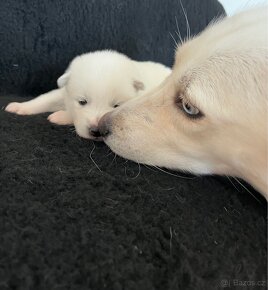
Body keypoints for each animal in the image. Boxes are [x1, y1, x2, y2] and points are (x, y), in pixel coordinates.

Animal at [5, 50, 171, 140]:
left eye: (116, 105)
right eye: (82, 102)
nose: (96, 131)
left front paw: (60, 116)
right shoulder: (63, 92)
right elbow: (46, 98)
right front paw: (20, 107)